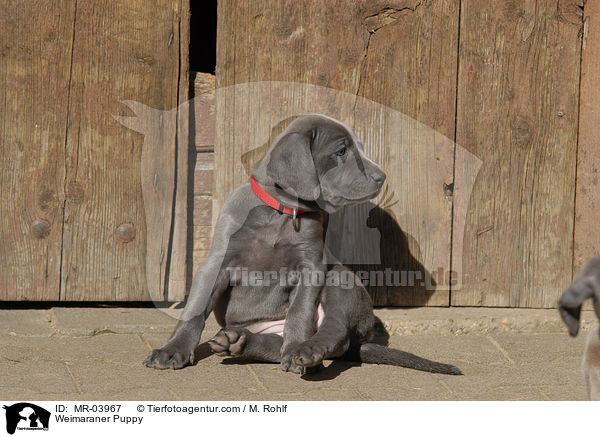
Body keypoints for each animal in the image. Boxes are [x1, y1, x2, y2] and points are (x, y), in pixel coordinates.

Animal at [145, 113, 464, 374]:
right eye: (341, 151)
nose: (381, 177)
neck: (282, 212)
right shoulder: (216, 263)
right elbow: (194, 310)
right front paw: (172, 350)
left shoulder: (311, 264)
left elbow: (300, 311)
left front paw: (297, 352)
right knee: (277, 342)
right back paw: (239, 342)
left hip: (340, 278)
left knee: (335, 331)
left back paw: (306, 351)